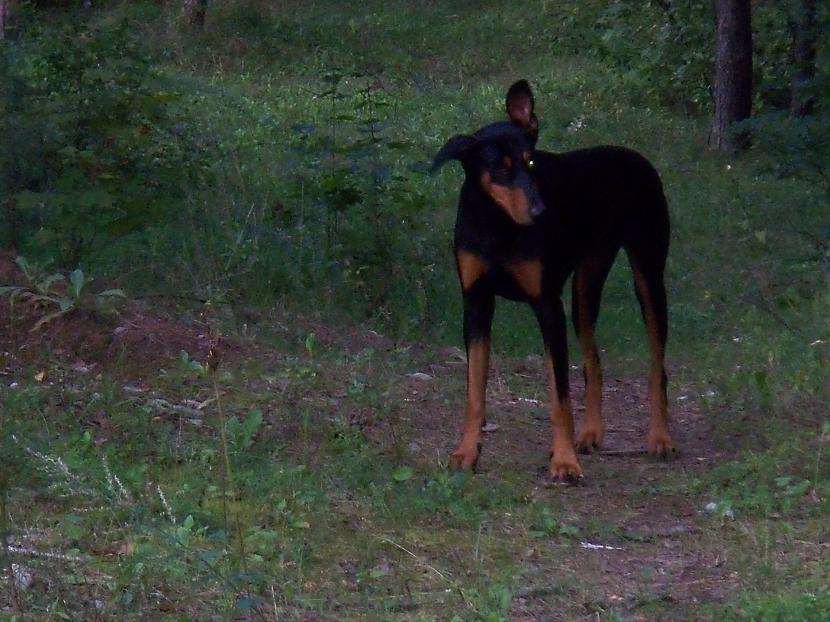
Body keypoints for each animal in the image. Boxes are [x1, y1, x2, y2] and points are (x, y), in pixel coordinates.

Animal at [436, 81, 676, 482]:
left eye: (531, 161)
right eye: (499, 168)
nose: (539, 212)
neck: (497, 225)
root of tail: (635, 156)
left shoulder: (548, 305)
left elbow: (559, 396)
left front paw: (564, 462)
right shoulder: (476, 303)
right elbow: (474, 392)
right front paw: (467, 452)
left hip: (648, 275)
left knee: (657, 367)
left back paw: (660, 438)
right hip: (585, 288)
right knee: (594, 361)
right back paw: (591, 433)